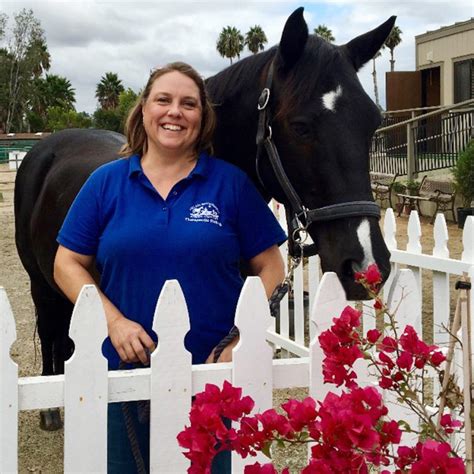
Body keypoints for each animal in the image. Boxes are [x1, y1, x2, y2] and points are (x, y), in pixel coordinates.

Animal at [14, 7, 392, 430]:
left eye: (372, 122)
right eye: (300, 126)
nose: (368, 266)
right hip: (41, 284)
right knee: (50, 330)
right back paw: (49, 409)